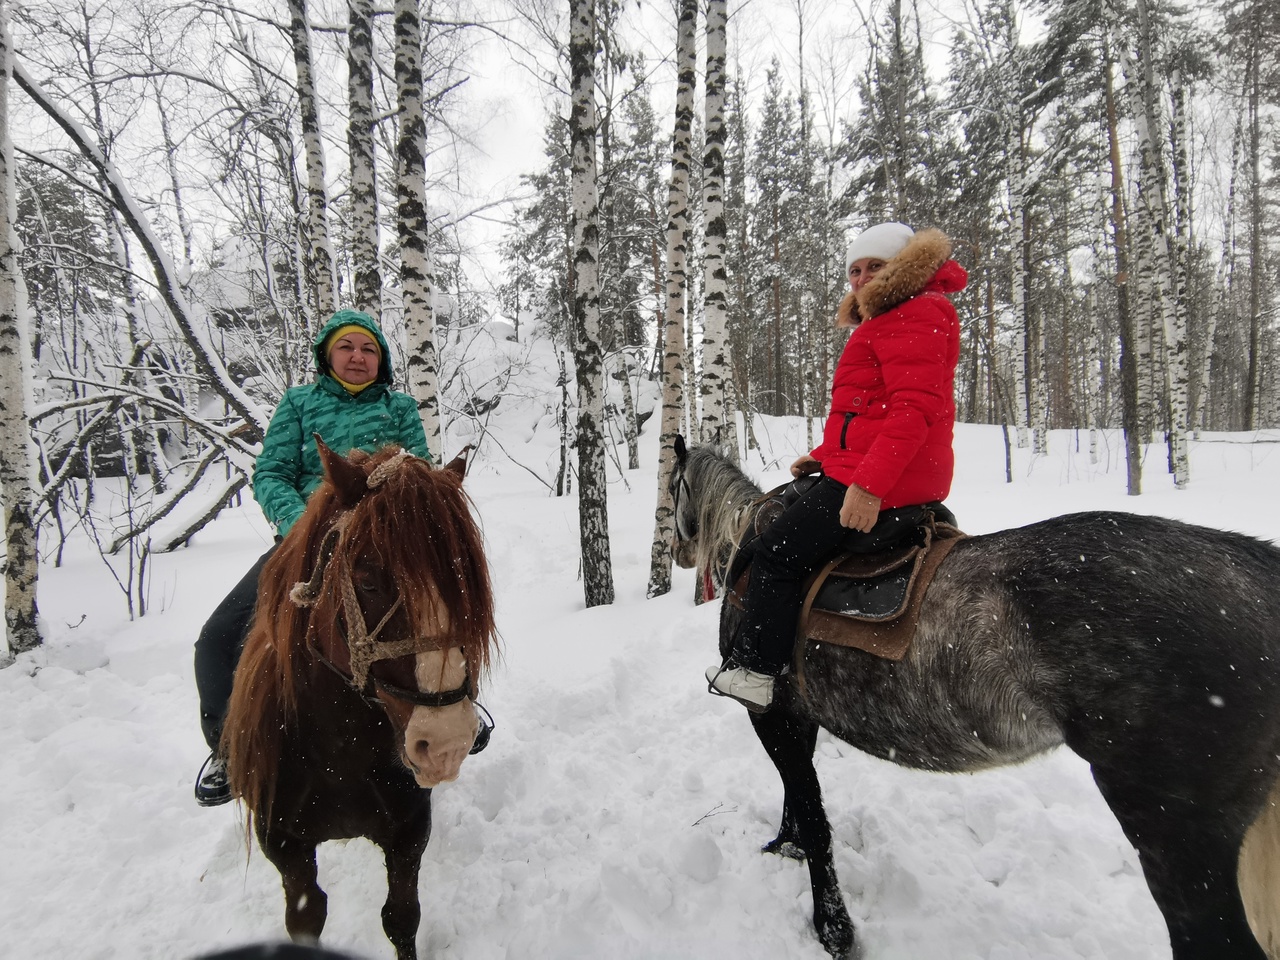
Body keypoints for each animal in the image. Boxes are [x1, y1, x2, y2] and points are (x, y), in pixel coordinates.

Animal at [222, 442, 496, 960]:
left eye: (464, 584)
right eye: (368, 582)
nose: (446, 742)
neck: (337, 749)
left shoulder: (410, 829)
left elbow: (402, 918)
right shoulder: (284, 847)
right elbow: (306, 918)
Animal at [670, 435, 1280, 960]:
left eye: (671, 487)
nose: (678, 553)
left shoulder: (768, 711)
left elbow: (816, 818)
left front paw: (833, 927)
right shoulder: (799, 713)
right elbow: (798, 799)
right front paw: (786, 844)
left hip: (1175, 835)